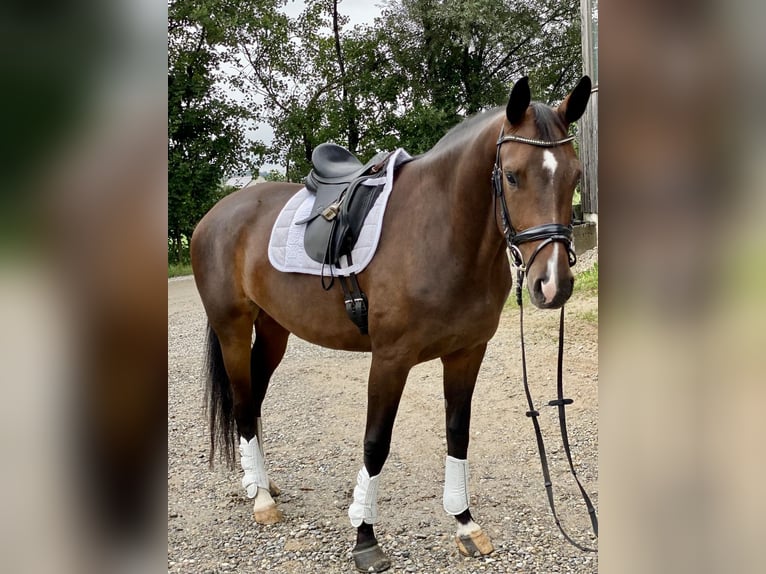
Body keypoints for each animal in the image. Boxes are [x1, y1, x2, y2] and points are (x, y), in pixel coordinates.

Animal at [190, 77, 592, 574]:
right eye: (513, 175)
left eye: (575, 177)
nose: (552, 285)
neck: (440, 231)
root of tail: (216, 214)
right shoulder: (390, 360)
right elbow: (375, 443)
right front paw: (365, 538)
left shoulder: (467, 353)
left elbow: (457, 433)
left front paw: (465, 523)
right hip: (231, 327)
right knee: (244, 403)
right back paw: (262, 498)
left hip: (273, 331)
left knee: (257, 398)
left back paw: (262, 483)